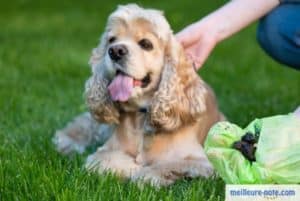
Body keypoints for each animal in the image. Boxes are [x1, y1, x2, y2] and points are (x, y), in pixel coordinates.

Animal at [53, 3, 223, 186]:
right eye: (111, 40)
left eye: (146, 44)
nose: (115, 51)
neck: (141, 115)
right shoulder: (105, 150)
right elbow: (105, 158)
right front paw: (131, 167)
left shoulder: (200, 160)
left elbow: (166, 165)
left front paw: (144, 174)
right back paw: (67, 143)